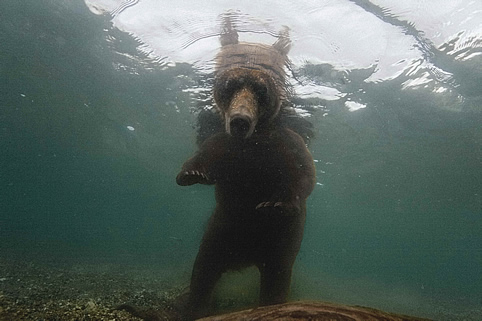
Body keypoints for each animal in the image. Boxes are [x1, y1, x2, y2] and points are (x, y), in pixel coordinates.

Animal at [177, 19, 316, 318]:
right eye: (229, 86)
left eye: (261, 90)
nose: (240, 120)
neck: (253, 142)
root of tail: (245, 258)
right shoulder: (226, 146)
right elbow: (205, 156)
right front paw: (192, 174)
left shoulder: (285, 145)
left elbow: (303, 175)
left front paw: (276, 202)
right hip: (221, 229)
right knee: (204, 268)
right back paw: (194, 307)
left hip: (279, 241)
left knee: (276, 277)